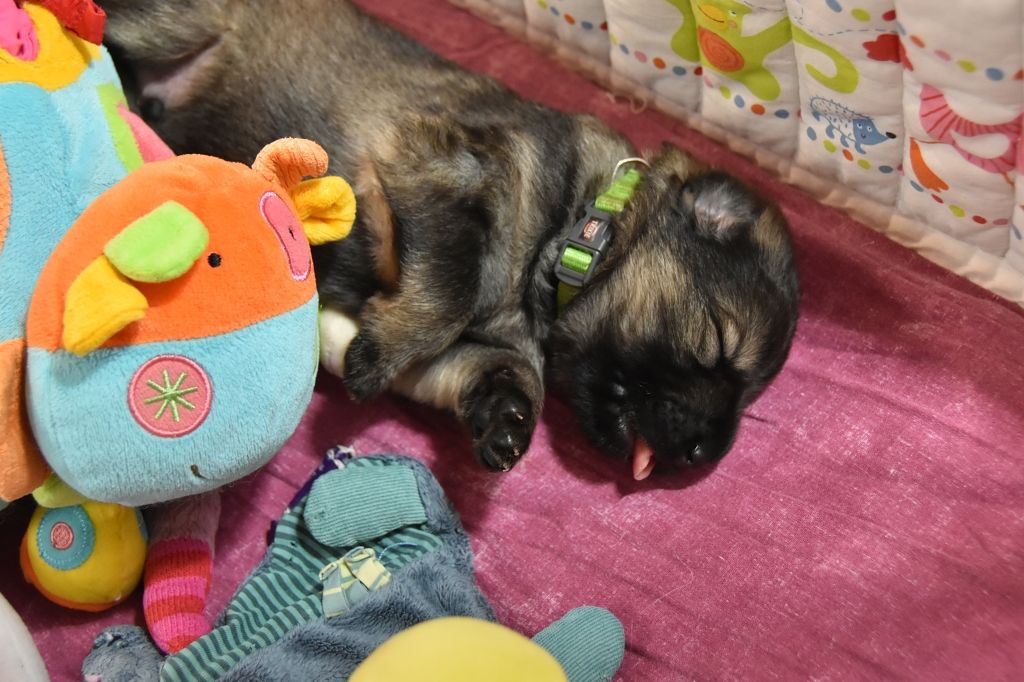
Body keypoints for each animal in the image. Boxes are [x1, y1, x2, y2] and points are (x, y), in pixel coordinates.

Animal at [99, 0, 799, 479]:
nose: (704, 453)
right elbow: (453, 285)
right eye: (717, 343)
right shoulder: (434, 168)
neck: (572, 227)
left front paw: (507, 419)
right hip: (172, 22)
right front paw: (377, 358)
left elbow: (488, 368)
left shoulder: (463, 354)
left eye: (749, 392)